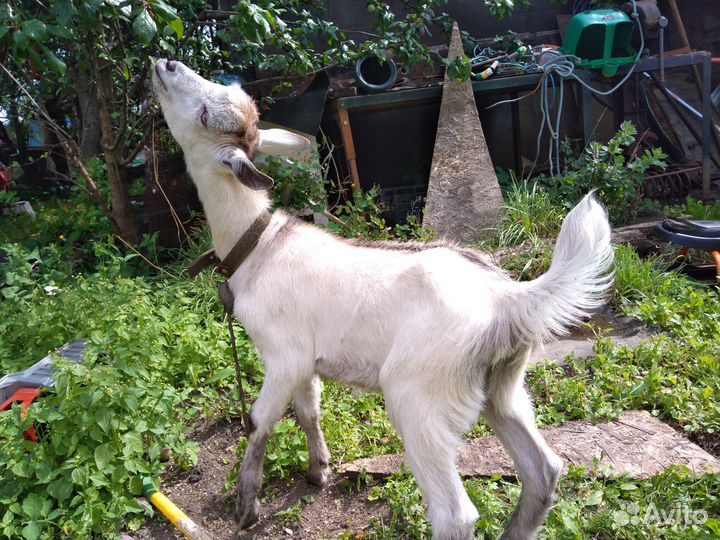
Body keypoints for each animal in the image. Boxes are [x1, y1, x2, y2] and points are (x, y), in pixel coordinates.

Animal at [152, 59, 613, 540]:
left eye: (205, 114)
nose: (166, 64)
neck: (259, 246)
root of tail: (507, 296)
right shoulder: (305, 359)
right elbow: (308, 410)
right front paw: (318, 471)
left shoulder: (282, 356)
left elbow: (259, 423)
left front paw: (246, 507)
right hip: (502, 389)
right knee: (544, 470)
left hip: (418, 396)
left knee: (455, 514)